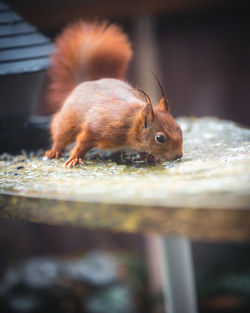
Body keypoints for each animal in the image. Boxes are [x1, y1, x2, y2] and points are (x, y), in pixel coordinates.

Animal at [45, 20, 182, 167]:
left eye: (179, 128)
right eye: (160, 138)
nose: (179, 155)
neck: (130, 124)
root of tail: (84, 83)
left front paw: (150, 156)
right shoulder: (96, 128)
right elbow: (82, 143)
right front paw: (74, 158)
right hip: (67, 122)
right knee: (60, 135)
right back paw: (55, 151)